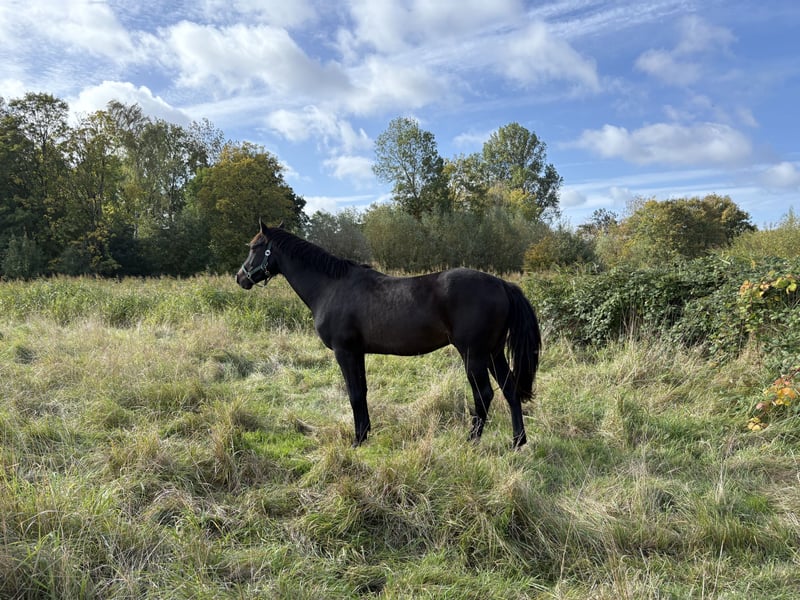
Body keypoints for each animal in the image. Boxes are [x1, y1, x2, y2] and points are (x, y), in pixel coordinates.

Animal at [236, 220, 541, 449]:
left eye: (254, 246)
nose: (240, 278)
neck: (331, 287)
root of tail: (501, 284)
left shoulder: (345, 352)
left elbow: (354, 394)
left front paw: (357, 440)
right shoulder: (357, 352)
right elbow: (362, 392)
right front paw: (365, 434)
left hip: (473, 354)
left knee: (484, 394)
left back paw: (472, 441)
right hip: (493, 352)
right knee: (510, 390)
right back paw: (517, 442)